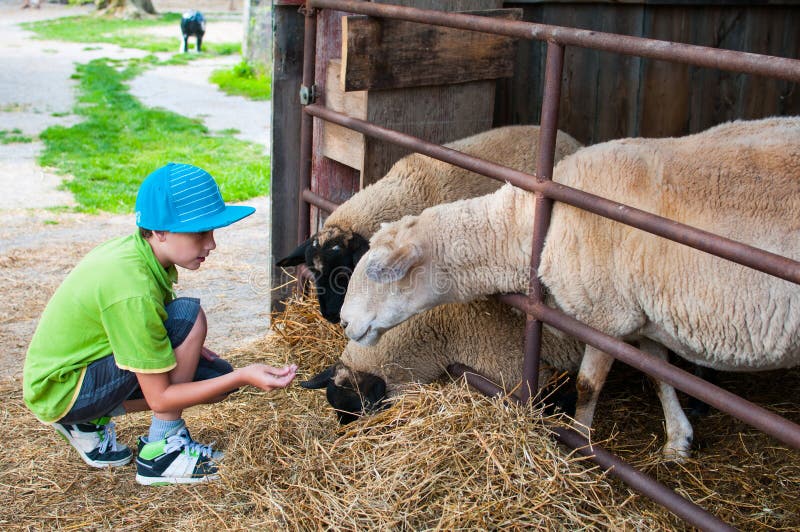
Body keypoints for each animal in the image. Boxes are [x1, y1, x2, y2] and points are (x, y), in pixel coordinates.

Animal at [338, 116, 800, 459]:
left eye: (378, 269)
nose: (342, 322)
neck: (534, 225)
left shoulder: (604, 318)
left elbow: (586, 387)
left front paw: (578, 444)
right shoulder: (645, 315)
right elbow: (658, 374)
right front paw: (677, 440)